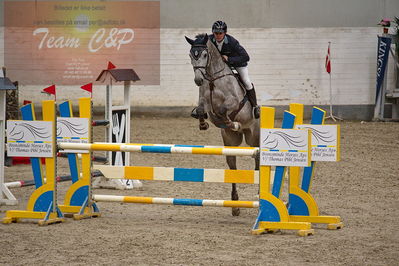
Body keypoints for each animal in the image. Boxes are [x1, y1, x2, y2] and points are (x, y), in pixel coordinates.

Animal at [186, 33, 260, 216]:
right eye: (191, 55)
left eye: (205, 55)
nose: (198, 80)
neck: (213, 79)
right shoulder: (204, 101)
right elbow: (201, 110)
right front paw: (203, 124)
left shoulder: (233, 102)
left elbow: (224, 109)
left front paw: (232, 122)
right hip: (230, 142)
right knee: (232, 167)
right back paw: (235, 206)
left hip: (253, 137)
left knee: (257, 158)